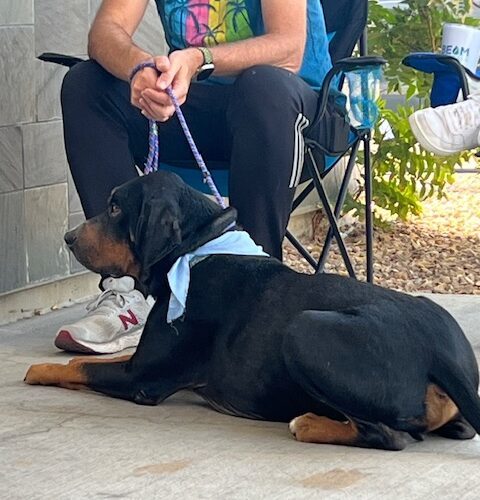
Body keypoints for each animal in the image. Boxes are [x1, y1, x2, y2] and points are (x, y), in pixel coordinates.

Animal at [25, 171, 480, 450]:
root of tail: (439, 348)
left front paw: (38, 370)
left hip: (303, 330)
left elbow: (75, 369)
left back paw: (309, 423)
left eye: (117, 207)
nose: (68, 237)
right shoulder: (141, 361)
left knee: (388, 436)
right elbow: (96, 359)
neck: (194, 249)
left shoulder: (144, 378)